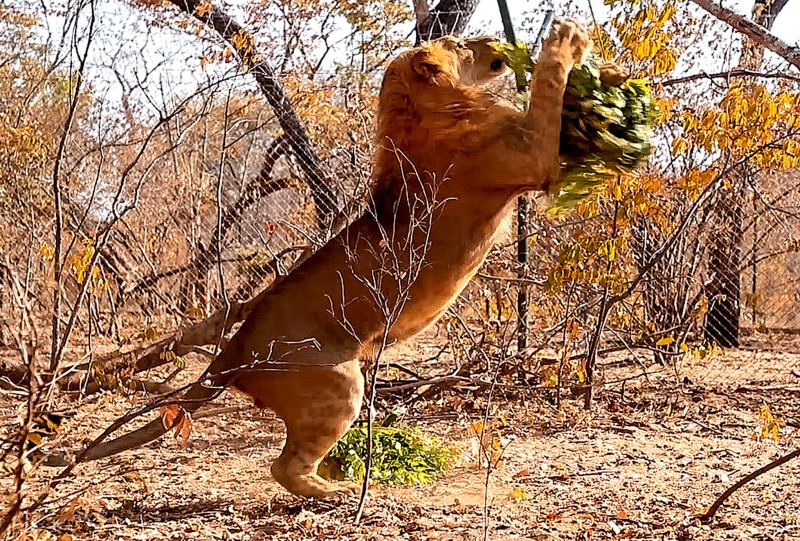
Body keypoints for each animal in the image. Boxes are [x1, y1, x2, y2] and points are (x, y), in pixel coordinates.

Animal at [81, 24, 592, 498]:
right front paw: (567, 39)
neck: (426, 107)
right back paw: (336, 491)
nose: (492, 39)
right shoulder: (531, 154)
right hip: (339, 387)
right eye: (462, 43)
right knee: (284, 466)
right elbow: (549, 87)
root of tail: (235, 348)